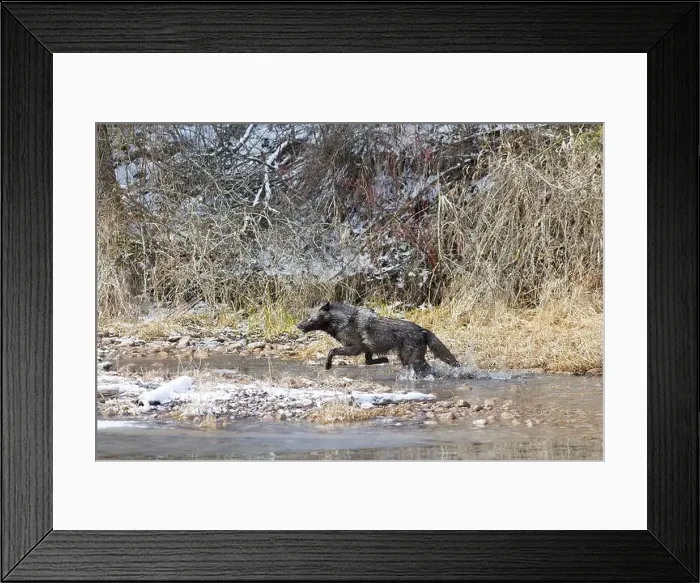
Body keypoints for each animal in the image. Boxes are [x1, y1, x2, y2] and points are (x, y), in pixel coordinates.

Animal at [296, 301, 460, 377]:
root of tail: (422, 330)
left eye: (309, 318)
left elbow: (331, 351)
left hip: (413, 360)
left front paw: (328, 365)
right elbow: (368, 362)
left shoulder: (355, 348)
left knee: (429, 369)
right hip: (407, 359)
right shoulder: (367, 350)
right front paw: (384, 360)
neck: (342, 320)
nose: (298, 325)